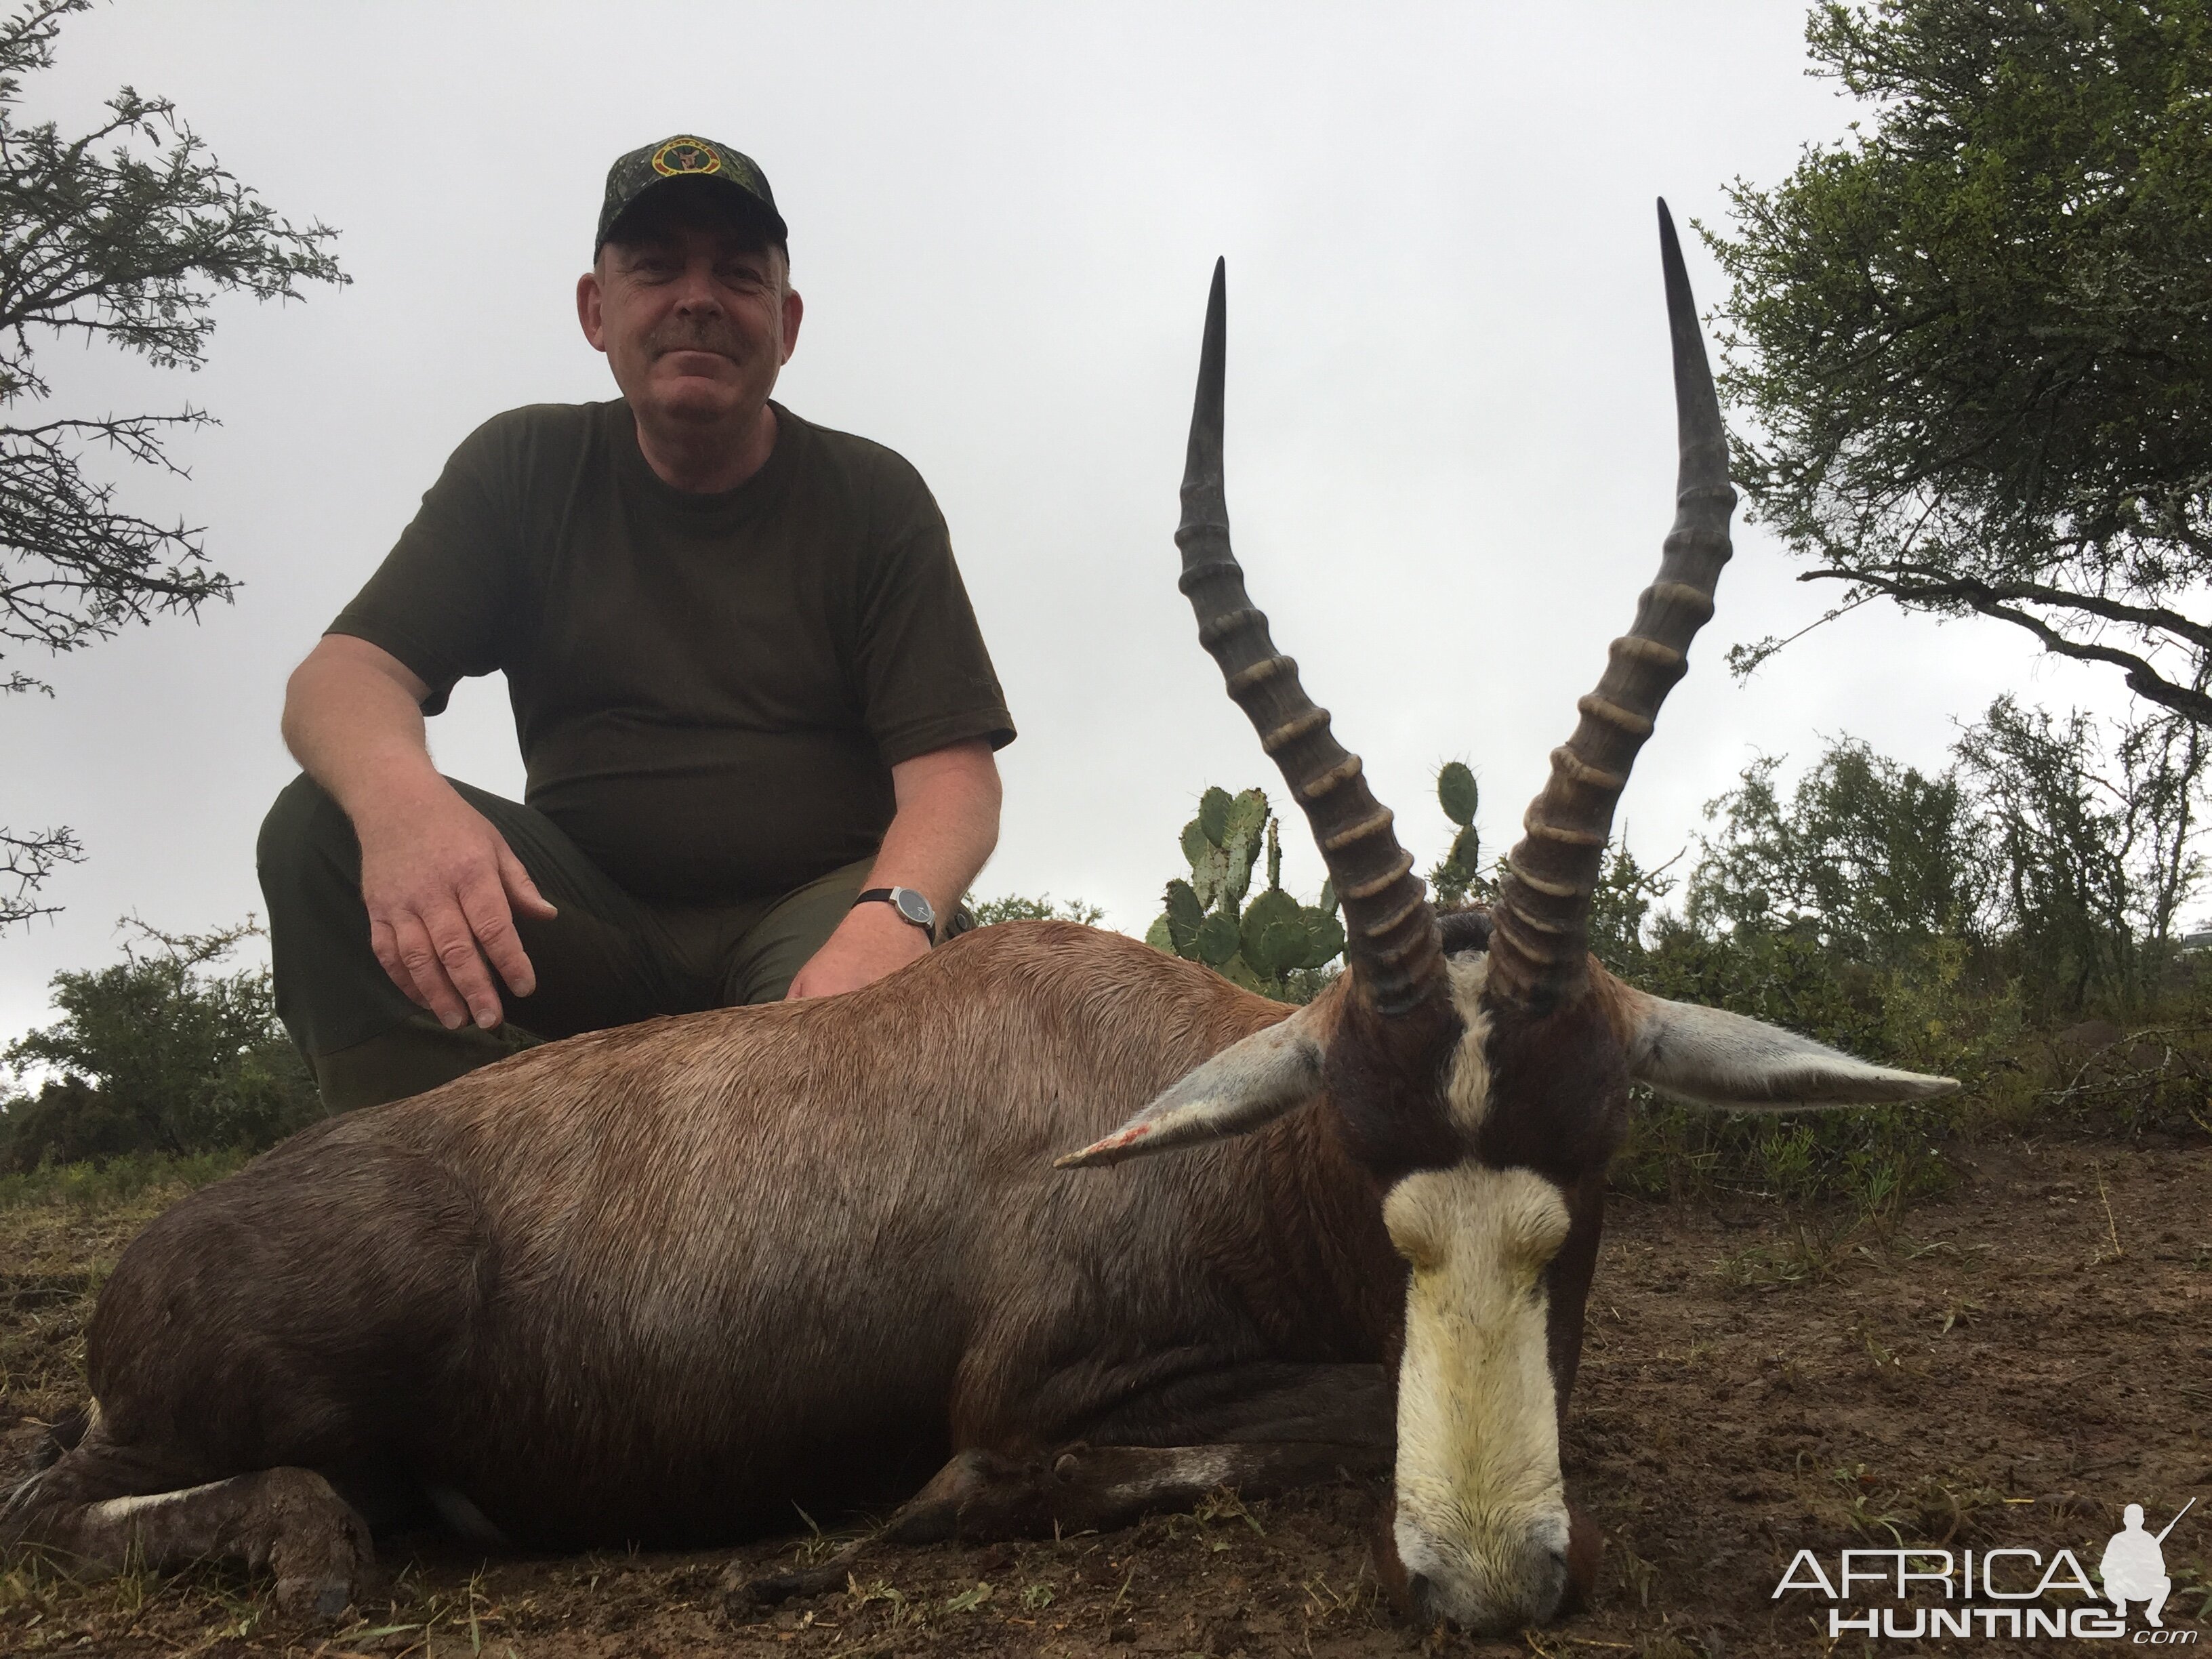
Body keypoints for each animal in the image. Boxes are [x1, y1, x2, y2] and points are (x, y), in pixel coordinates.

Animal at [4, 204, 1955, 1637]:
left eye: (1600, 1159)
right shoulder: (1035, 1401)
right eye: (1358, 1154)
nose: (1485, 1585)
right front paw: (828, 1547)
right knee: (64, 1503)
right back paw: (320, 1557)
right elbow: (1120, 1454)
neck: (1207, 1136)